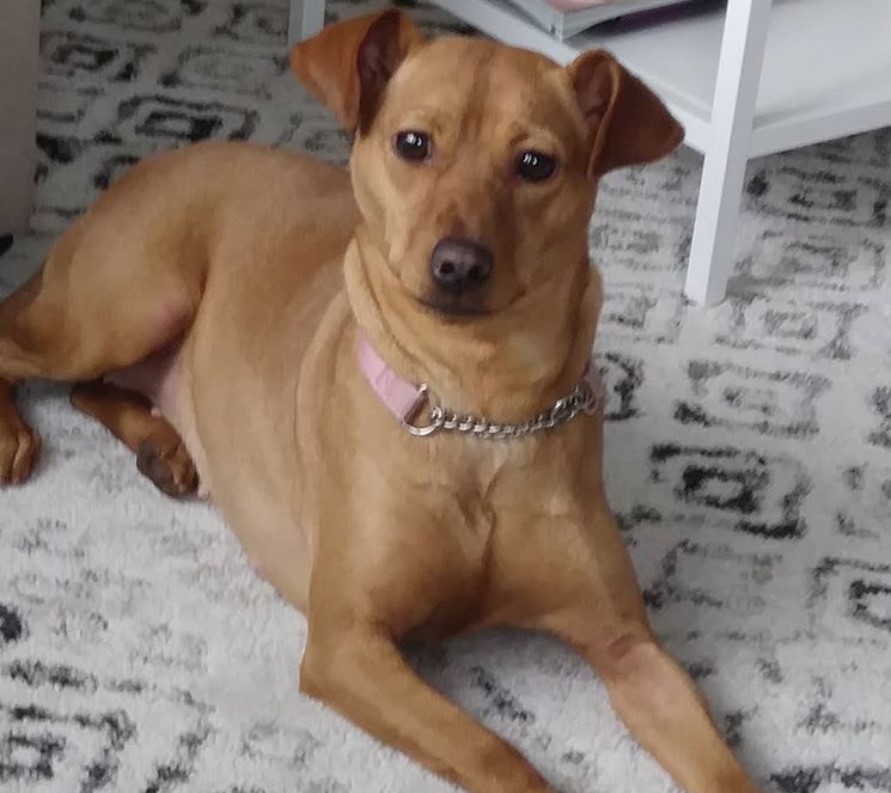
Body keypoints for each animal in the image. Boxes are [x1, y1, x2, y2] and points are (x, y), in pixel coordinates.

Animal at [1, 10, 760, 792]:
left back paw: (165, 446)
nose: (459, 264)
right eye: (413, 143)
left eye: (535, 164)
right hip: (131, 303)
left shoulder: (629, 648)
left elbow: (721, 766)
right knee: (16, 345)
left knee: (93, 388)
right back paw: (18, 436)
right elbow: (495, 752)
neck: (477, 411)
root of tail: (146, 167)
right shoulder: (347, 644)